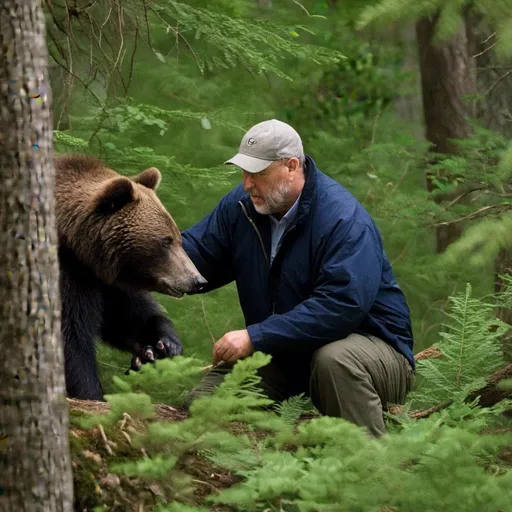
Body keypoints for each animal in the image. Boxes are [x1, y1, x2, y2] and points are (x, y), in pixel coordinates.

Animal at [52, 154, 204, 402]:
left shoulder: (106, 280)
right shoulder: (68, 273)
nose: (197, 280)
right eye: (166, 241)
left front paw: (163, 344)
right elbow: (71, 339)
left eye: (178, 238)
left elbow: (125, 317)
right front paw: (91, 392)